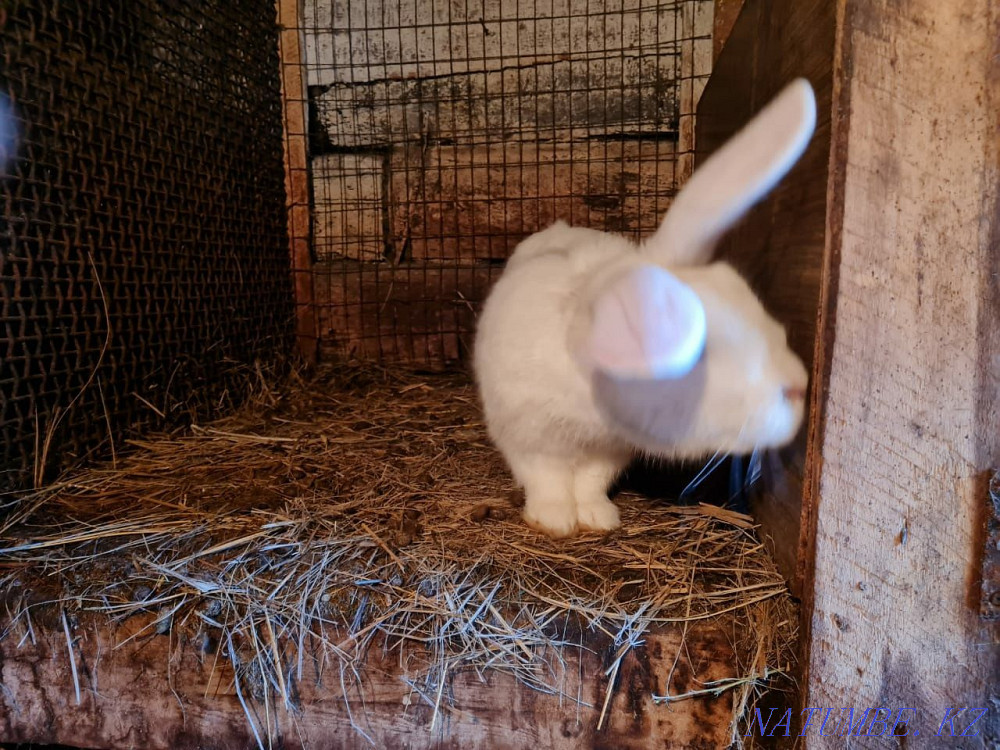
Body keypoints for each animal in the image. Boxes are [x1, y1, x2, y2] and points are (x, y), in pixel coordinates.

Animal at [473, 79, 817, 538]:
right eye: (696, 353)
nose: (799, 386)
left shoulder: (611, 450)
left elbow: (591, 481)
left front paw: (597, 517)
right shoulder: (528, 439)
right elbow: (547, 479)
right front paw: (555, 519)